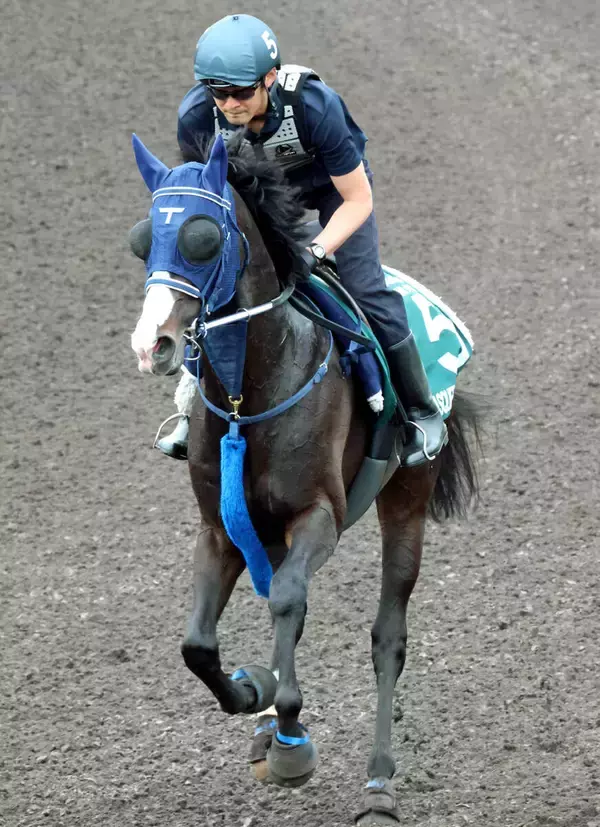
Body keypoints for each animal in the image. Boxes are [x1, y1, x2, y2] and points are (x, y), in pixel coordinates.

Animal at [129, 131, 480, 825]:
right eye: (143, 236)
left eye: (203, 236)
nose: (151, 343)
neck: (249, 396)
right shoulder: (220, 528)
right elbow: (197, 644)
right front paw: (253, 693)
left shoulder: (319, 515)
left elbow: (291, 599)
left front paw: (290, 735)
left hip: (408, 496)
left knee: (388, 638)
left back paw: (378, 784)